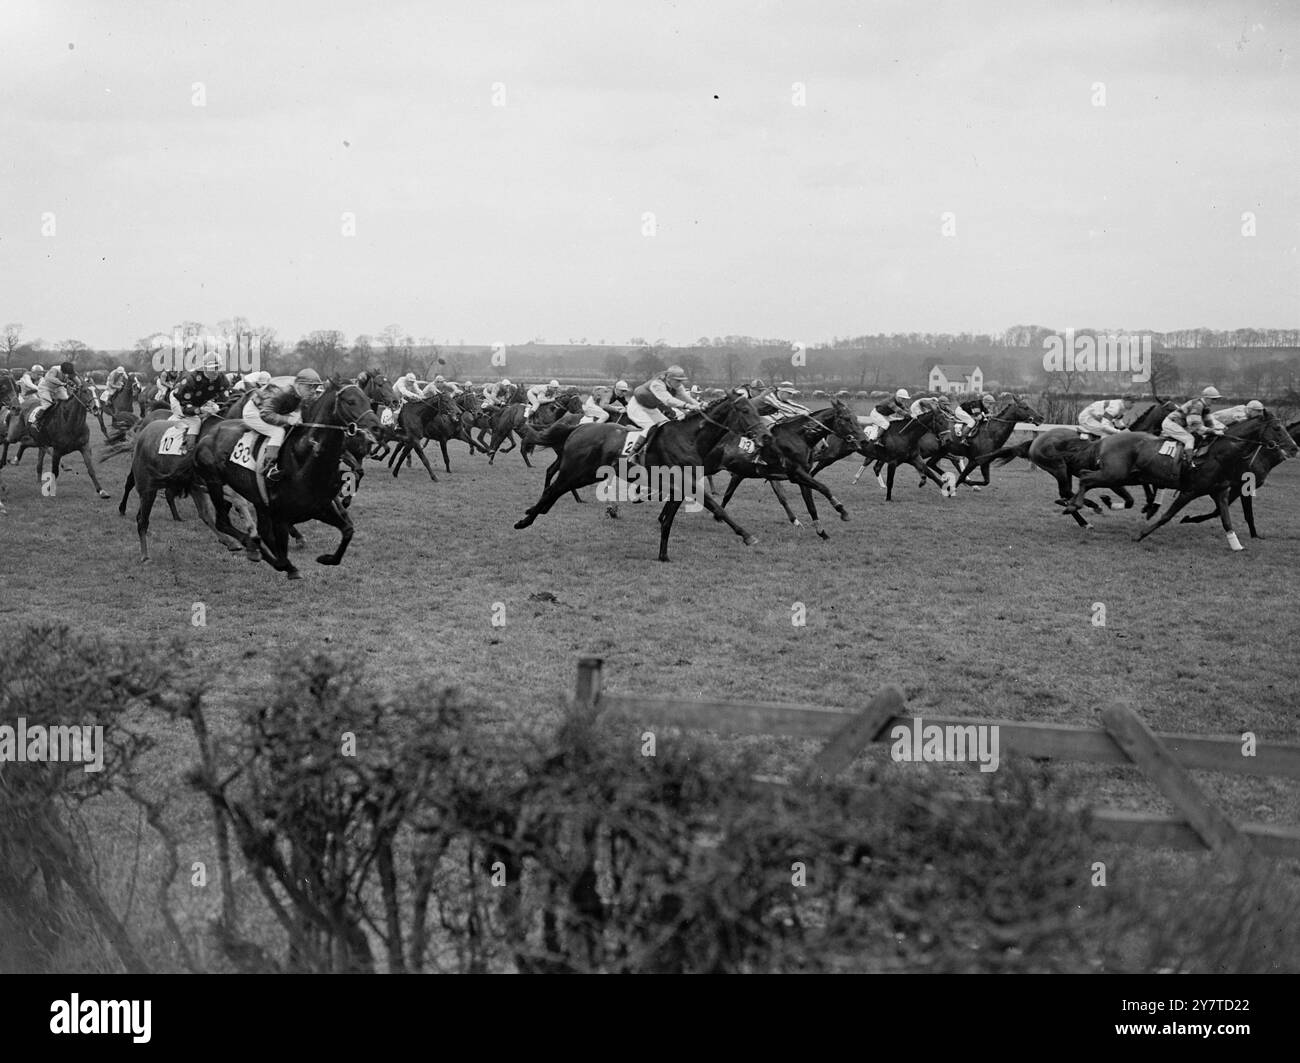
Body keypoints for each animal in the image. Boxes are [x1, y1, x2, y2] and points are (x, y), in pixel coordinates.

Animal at [717, 400, 868, 537]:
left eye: (856, 418)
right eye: (847, 419)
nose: (865, 439)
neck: (800, 437)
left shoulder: (801, 476)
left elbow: (810, 504)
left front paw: (821, 531)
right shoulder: (796, 473)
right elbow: (824, 487)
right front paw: (842, 510)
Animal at [1066, 413, 1300, 550]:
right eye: (1277, 428)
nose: (1294, 447)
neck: (1220, 454)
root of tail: (1106, 439)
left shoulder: (1220, 492)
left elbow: (1226, 519)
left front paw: (1237, 546)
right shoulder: (1191, 491)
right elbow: (1167, 516)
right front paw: (1141, 535)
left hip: (1128, 475)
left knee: (1088, 477)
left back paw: (1083, 504)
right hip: (1115, 473)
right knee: (1086, 477)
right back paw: (1074, 505)